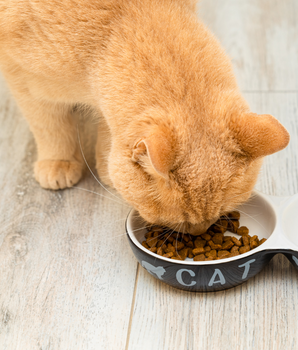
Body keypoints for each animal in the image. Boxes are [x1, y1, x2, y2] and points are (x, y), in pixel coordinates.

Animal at [0, 0, 288, 235]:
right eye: (184, 220)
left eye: (218, 215)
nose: (199, 232)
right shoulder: (24, 80)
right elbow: (51, 128)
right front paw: (58, 162)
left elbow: (105, 130)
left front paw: (105, 165)